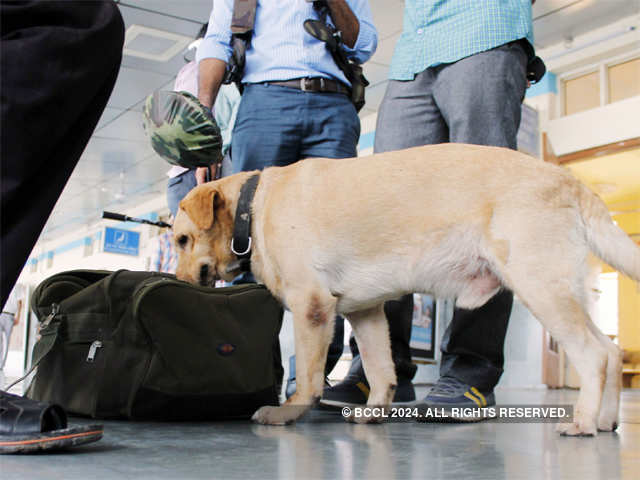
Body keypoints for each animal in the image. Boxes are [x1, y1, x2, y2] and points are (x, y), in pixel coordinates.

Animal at [172, 142, 636, 436]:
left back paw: (582, 422)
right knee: (611, 351)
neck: (254, 206)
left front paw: (290, 411)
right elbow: (381, 370)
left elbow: (307, 374)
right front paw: (375, 411)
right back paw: (606, 420)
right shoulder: (365, 313)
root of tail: (566, 179)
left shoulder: (312, 307)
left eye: (180, 240)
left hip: (540, 286)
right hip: (562, 291)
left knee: (593, 355)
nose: (178, 283)